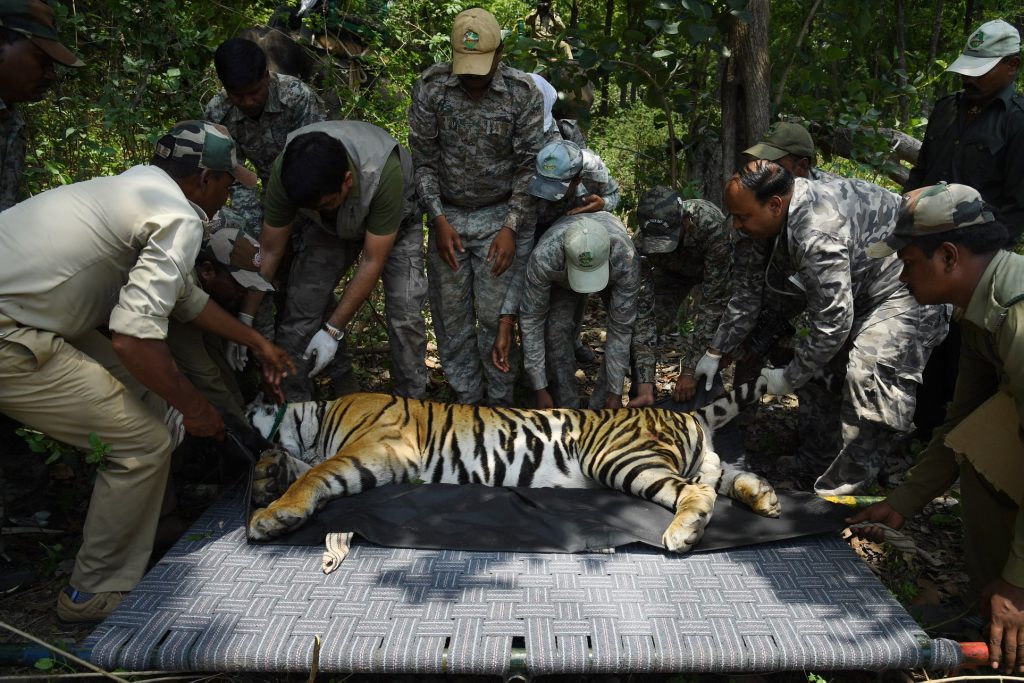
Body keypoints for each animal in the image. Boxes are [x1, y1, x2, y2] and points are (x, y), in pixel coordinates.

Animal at [246, 379, 780, 553]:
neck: (314, 417)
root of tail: (684, 411)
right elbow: (300, 466)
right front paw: (269, 475)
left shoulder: (381, 449)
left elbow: (317, 473)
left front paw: (272, 515)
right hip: (693, 459)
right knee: (724, 474)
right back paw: (766, 499)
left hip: (622, 457)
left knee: (697, 492)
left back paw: (684, 531)